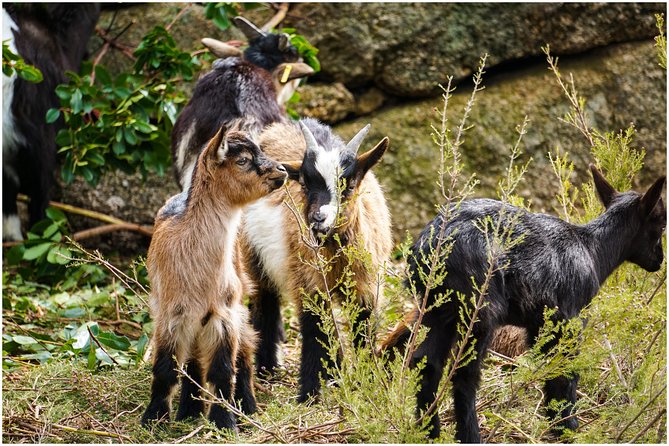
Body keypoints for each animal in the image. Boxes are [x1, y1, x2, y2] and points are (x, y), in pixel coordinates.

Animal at [141, 123, 288, 430]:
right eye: (243, 160)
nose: (282, 170)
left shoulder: (224, 314)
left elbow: (223, 370)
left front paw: (224, 421)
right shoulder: (171, 316)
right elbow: (165, 369)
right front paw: (153, 418)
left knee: (245, 352)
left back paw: (246, 407)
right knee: (194, 362)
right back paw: (189, 411)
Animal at [241, 117, 392, 400]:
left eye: (349, 185)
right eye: (304, 183)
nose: (318, 219)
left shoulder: (366, 287)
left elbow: (362, 328)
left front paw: (366, 380)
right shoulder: (309, 283)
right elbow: (315, 329)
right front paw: (310, 392)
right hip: (252, 258)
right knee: (265, 303)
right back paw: (267, 369)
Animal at [378, 166, 664, 442]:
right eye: (661, 224)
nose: (659, 261)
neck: (593, 250)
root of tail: (429, 246)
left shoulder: (540, 325)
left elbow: (552, 373)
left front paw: (557, 423)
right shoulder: (568, 319)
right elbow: (565, 373)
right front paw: (567, 427)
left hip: (436, 309)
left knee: (427, 364)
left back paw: (429, 433)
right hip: (480, 310)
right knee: (464, 375)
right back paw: (469, 436)